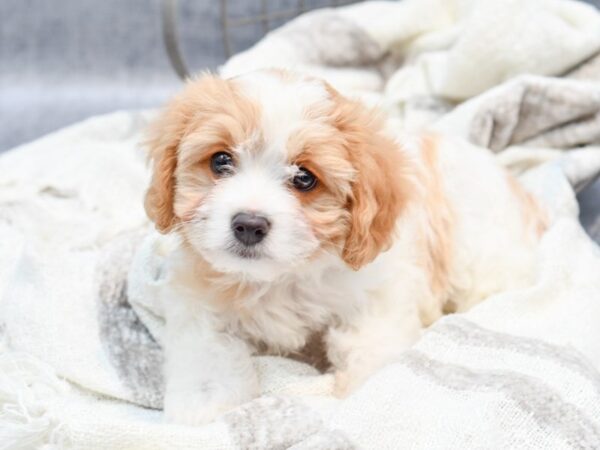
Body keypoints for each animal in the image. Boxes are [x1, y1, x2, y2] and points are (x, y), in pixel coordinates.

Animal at [143, 68, 548, 424]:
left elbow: (369, 353)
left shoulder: (377, 301)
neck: (278, 280)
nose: (249, 225)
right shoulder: (198, 306)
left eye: (304, 178)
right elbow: (207, 357)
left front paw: (357, 403)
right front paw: (202, 410)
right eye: (221, 160)